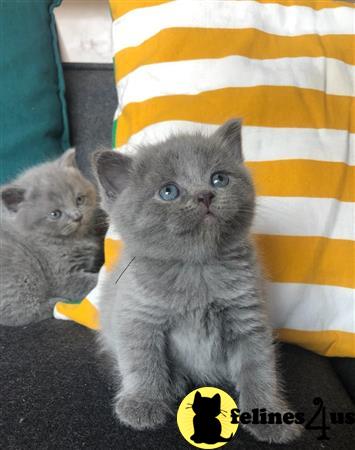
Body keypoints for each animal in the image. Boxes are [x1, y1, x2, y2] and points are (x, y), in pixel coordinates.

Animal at [0, 149, 103, 326]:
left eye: (79, 199)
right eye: (55, 214)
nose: (77, 217)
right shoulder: (62, 276)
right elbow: (88, 282)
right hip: (21, 267)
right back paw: (56, 303)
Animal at [94, 121, 304, 444]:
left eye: (219, 179)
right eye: (168, 191)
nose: (205, 195)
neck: (197, 270)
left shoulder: (248, 317)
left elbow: (259, 368)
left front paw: (269, 416)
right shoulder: (138, 316)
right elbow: (142, 362)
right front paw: (143, 403)